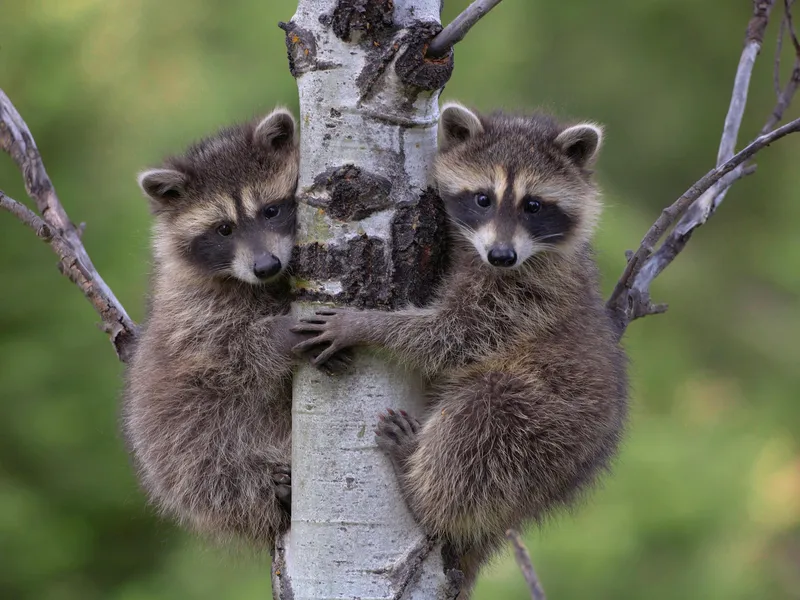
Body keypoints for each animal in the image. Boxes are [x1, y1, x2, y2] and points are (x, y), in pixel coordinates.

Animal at [123, 109, 327, 546]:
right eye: (224, 229)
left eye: (270, 211)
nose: (265, 266)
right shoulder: (193, 312)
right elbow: (229, 354)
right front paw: (280, 333)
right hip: (175, 443)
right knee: (210, 468)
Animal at [293, 103, 628, 591]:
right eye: (483, 198)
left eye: (533, 205)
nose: (502, 256)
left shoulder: (525, 297)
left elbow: (452, 336)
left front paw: (366, 325)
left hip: (546, 425)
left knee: (479, 422)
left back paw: (420, 490)